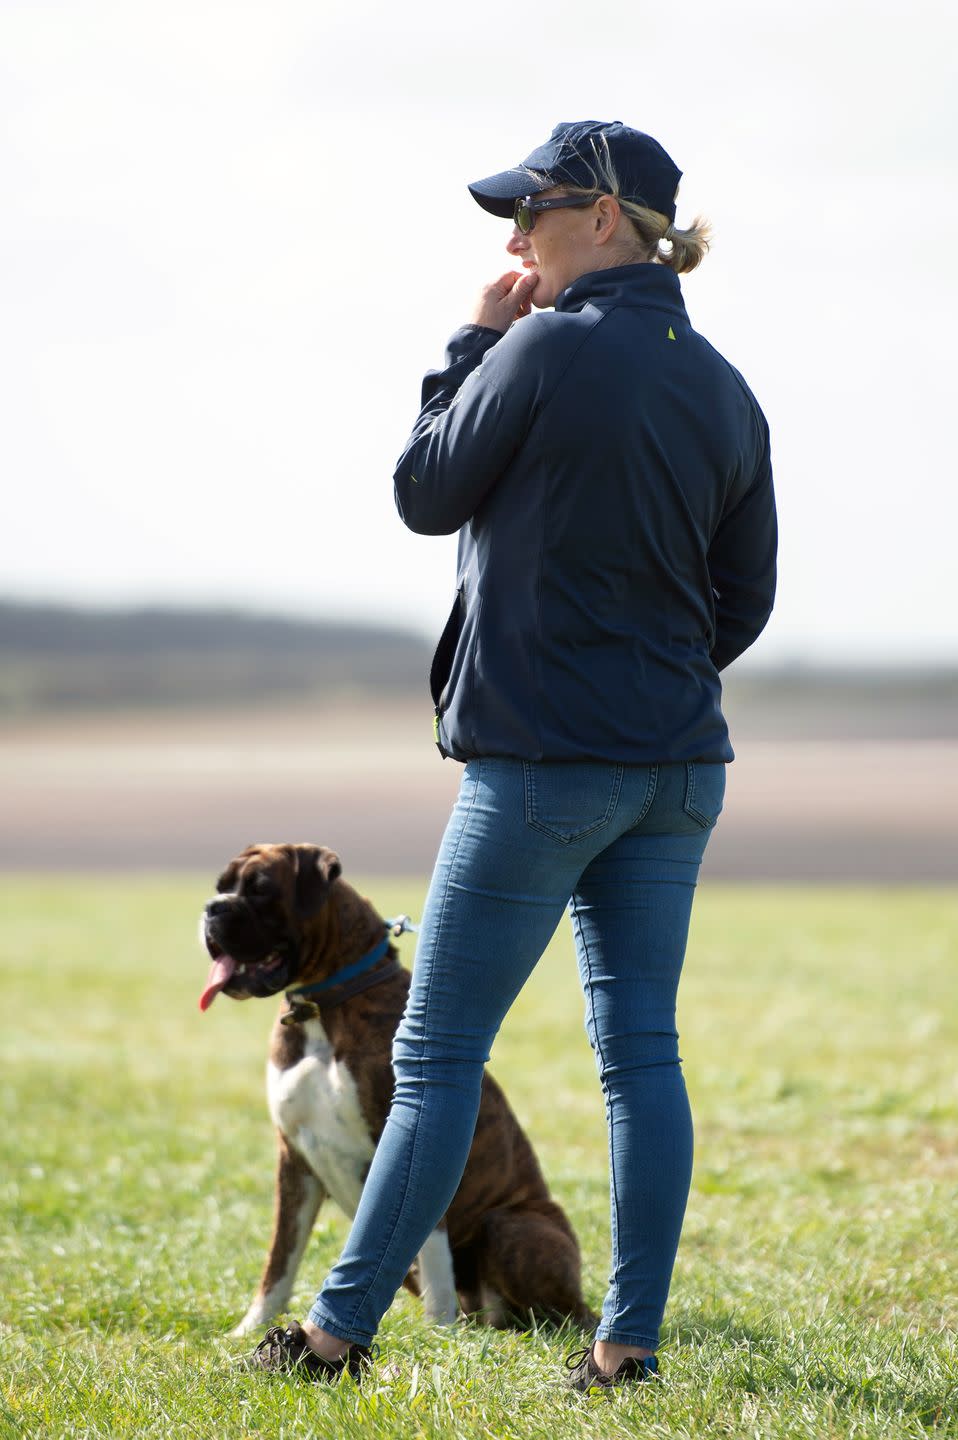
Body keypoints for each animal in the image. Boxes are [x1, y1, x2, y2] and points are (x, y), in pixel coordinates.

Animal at [197, 840, 593, 1330]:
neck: (322, 1005)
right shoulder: (295, 1161)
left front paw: (438, 1330)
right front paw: (252, 1326)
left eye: (261, 888)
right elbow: (280, 1259)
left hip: (511, 1225)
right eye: (222, 887)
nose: (212, 908)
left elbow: (431, 1246)